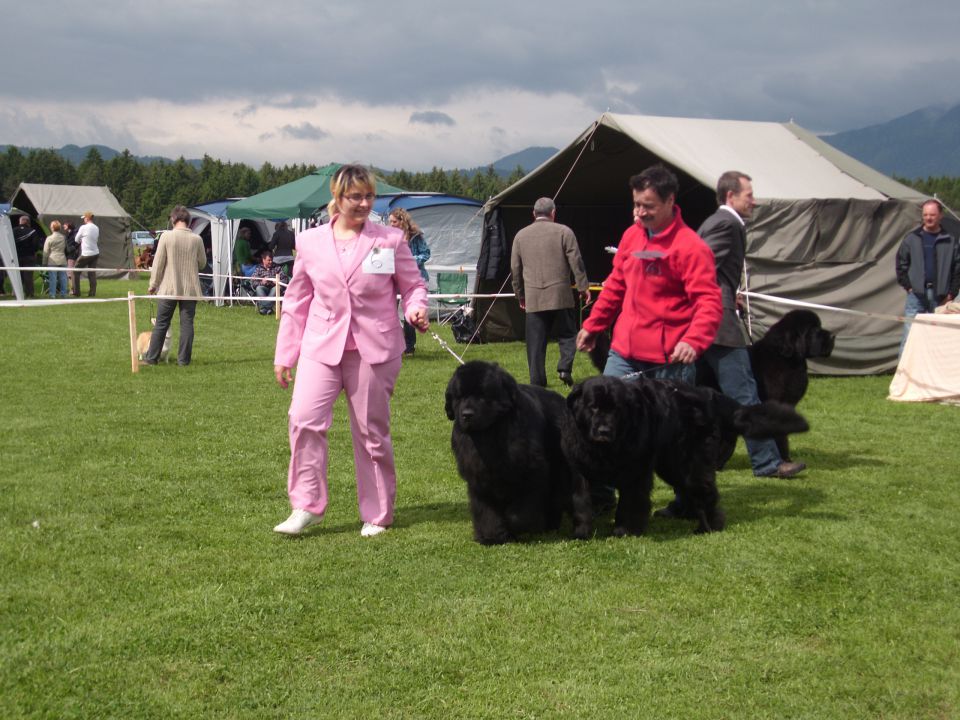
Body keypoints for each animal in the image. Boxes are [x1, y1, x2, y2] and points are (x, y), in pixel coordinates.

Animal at [444, 362, 592, 544]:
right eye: (459, 397)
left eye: (483, 395)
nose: (466, 414)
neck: (490, 436)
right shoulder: (479, 480)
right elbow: (485, 511)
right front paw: (491, 536)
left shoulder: (530, 474)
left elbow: (519, 513)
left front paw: (517, 527)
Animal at [568, 376, 808, 536]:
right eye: (593, 407)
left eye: (616, 409)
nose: (604, 430)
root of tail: (709, 396)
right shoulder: (581, 469)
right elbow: (581, 499)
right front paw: (583, 530)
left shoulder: (636, 472)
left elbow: (631, 502)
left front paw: (625, 530)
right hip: (672, 464)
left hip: (686, 462)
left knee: (706, 491)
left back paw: (708, 526)